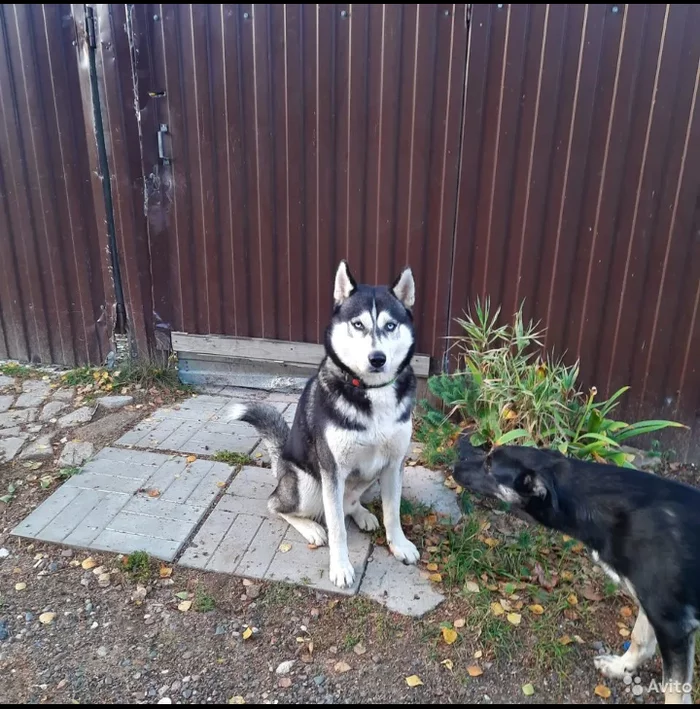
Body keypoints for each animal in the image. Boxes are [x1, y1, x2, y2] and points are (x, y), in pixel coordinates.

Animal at [227, 260, 418, 588]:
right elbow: (337, 527)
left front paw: (399, 545)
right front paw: (340, 568)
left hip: (370, 477)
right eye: (358, 325)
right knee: (277, 505)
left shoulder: (394, 464)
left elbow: (393, 512)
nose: (377, 358)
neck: (372, 392)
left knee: (349, 502)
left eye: (390, 326)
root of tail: (282, 465)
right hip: (308, 485)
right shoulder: (332, 470)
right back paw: (312, 528)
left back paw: (362, 513)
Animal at [454, 436, 700, 704]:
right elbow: (640, 639)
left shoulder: (673, 625)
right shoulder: (653, 606)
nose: (454, 465)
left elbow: (675, 690)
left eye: (489, 465)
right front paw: (620, 667)